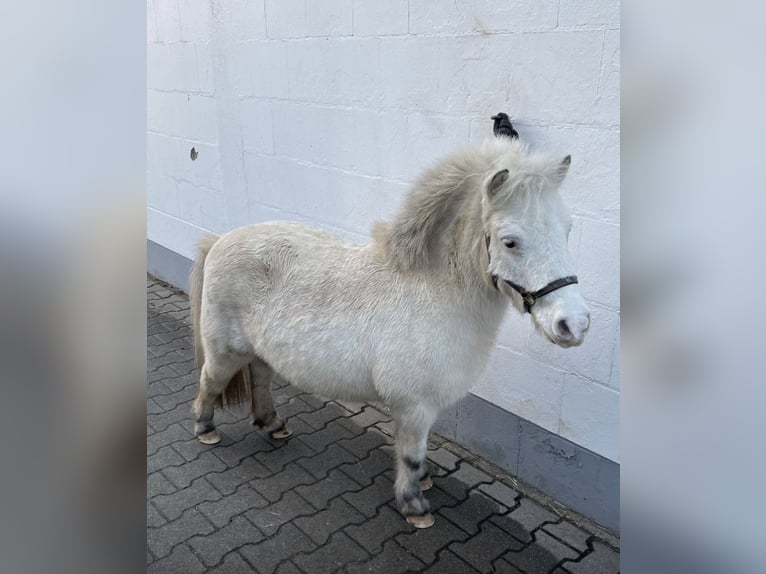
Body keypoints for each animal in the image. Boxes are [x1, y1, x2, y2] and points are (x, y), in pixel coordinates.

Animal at [189, 136, 591, 528]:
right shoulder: (414, 406)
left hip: (259, 352)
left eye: (568, 229)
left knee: (260, 379)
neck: (434, 293)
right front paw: (415, 506)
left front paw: (423, 483)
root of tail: (220, 239)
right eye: (510, 241)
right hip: (224, 352)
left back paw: (273, 425)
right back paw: (206, 429)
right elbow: (411, 455)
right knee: (210, 382)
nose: (573, 324)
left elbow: (420, 451)